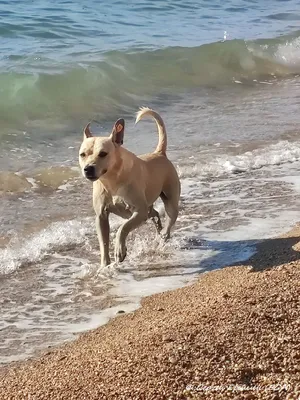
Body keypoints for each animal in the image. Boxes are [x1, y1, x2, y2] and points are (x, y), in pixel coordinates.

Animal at [78, 108, 180, 268]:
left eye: (103, 154)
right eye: (82, 154)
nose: (88, 168)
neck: (112, 181)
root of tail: (159, 153)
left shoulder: (139, 211)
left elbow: (123, 228)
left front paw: (120, 250)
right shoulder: (101, 216)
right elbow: (103, 242)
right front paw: (104, 266)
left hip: (170, 200)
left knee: (170, 217)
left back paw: (163, 236)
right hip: (148, 210)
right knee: (154, 213)